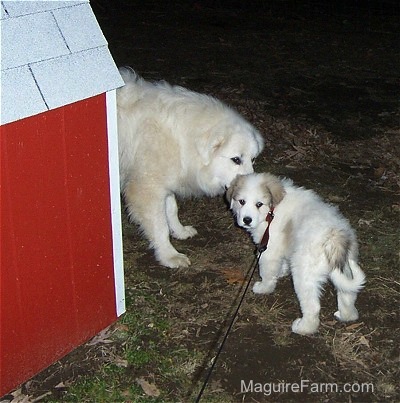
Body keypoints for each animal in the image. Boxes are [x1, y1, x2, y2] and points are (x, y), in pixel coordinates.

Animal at [117, 68, 264, 272]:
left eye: (253, 159)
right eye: (236, 160)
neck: (182, 139)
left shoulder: (165, 182)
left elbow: (171, 209)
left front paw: (179, 231)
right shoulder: (147, 190)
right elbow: (160, 226)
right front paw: (169, 256)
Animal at [227, 173, 364, 334]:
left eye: (259, 204)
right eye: (241, 201)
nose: (246, 220)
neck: (272, 211)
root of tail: (334, 238)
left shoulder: (269, 250)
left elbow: (267, 272)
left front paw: (264, 288)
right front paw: (282, 272)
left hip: (304, 275)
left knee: (312, 306)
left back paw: (303, 328)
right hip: (346, 267)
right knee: (347, 294)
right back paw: (346, 315)